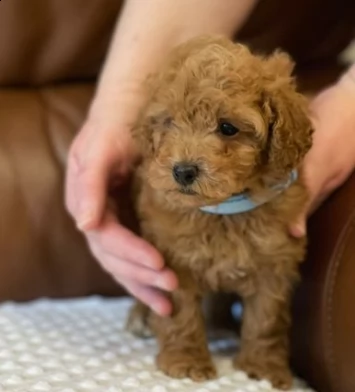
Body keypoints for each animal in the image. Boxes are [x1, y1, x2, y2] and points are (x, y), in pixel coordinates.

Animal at [126, 35, 312, 390]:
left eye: (227, 128)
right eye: (169, 123)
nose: (183, 171)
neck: (224, 209)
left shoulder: (274, 264)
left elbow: (266, 319)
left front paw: (263, 367)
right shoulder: (172, 259)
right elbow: (180, 312)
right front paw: (186, 361)